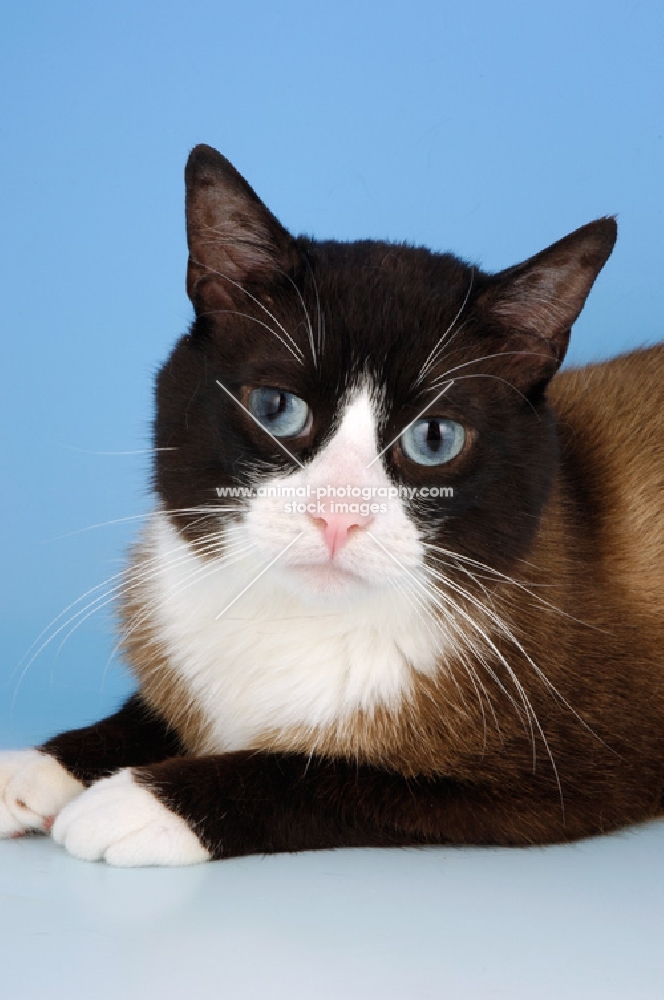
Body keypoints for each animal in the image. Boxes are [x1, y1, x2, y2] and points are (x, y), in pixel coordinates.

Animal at [1, 143, 664, 868]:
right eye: (276, 408)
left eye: (435, 438)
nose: (338, 517)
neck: (295, 622)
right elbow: (148, 714)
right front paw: (35, 768)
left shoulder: (555, 782)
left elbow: (310, 769)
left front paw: (134, 801)